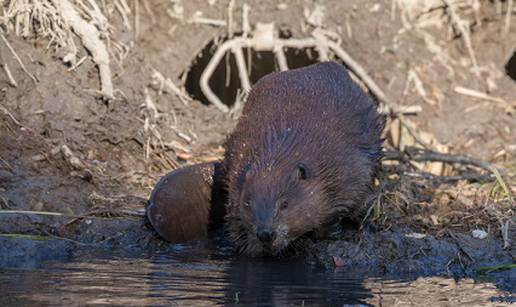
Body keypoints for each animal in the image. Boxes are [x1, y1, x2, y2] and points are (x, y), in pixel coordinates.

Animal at [145, 62, 382, 258]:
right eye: (249, 204)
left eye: (284, 204)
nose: (266, 233)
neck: (281, 148)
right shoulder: (237, 177)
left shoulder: (344, 166)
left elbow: (343, 203)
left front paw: (336, 230)